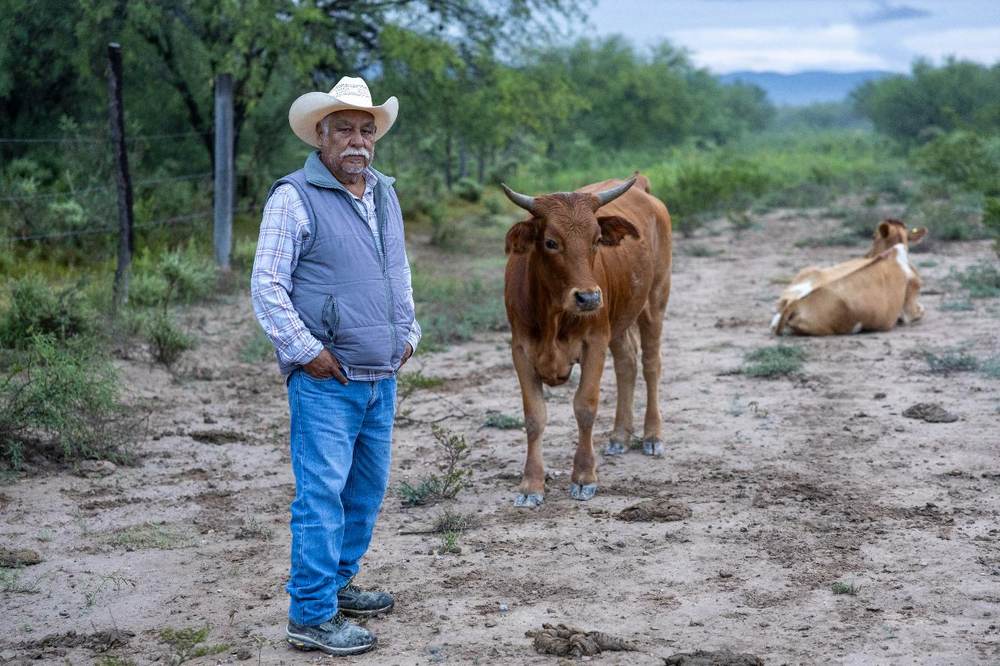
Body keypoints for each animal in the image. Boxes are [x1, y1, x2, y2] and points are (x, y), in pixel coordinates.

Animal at [501, 173, 672, 507]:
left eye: (596, 240)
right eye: (551, 242)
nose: (589, 298)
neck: (553, 315)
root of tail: (641, 188)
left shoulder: (594, 343)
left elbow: (585, 407)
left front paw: (583, 477)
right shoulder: (521, 351)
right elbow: (534, 417)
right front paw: (531, 484)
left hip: (655, 301)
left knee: (651, 364)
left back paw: (653, 436)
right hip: (619, 321)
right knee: (627, 363)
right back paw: (619, 436)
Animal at [771, 219, 928, 336]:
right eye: (873, 236)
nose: (866, 256)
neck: (893, 253)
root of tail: (795, 302)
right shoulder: (909, 310)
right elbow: (921, 310)